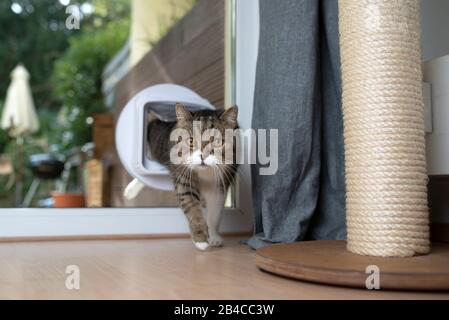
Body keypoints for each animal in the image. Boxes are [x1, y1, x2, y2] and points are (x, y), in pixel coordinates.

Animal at [147, 102, 238, 250]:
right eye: (190, 141)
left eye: (217, 142)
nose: (202, 156)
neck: (205, 173)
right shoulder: (183, 178)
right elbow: (193, 210)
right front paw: (201, 240)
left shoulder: (220, 184)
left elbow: (215, 214)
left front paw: (214, 238)